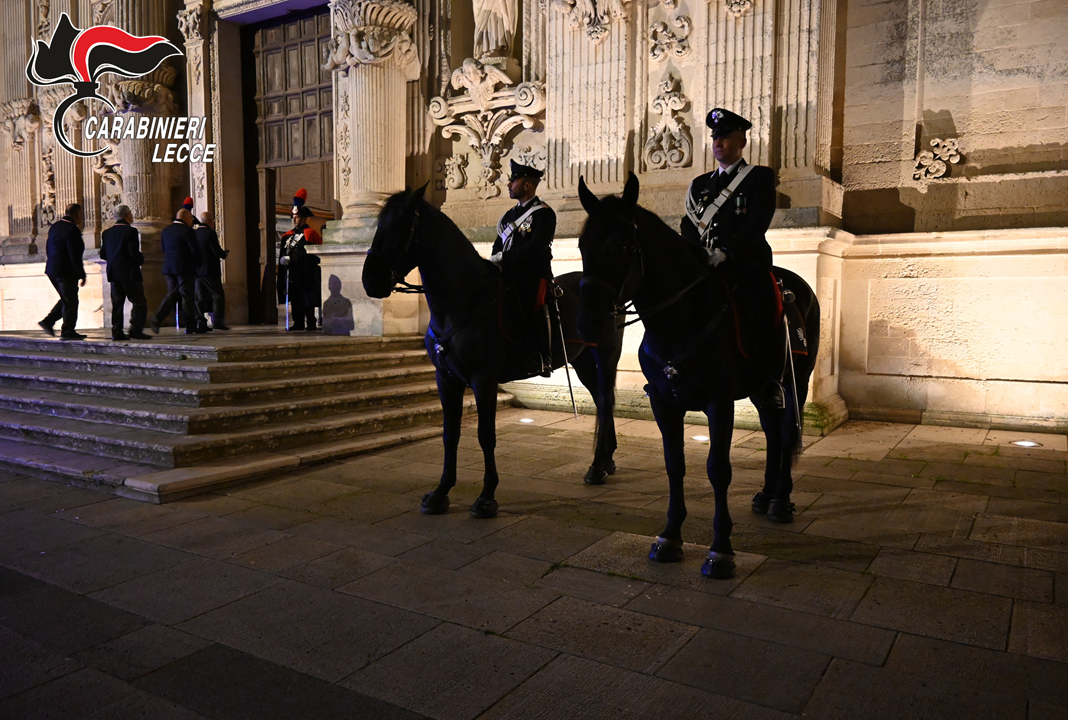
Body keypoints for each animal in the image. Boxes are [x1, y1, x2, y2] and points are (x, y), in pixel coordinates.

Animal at [362, 183, 624, 518]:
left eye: (398, 226)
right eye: (378, 225)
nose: (370, 281)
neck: (460, 303)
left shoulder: (483, 379)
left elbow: (486, 435)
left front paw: (486, 497)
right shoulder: (445, 379)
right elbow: (450, 434)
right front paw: (440, 493)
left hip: (605, 357)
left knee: (606, 402)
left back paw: (598, 466)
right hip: (583, 363)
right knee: (602, 402)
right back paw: (604, 461)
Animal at [573, 173, 820, 578]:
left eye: (624, 244)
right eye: (581, 243)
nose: (588, 323)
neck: (680, 319)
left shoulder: (719, 403)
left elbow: (718, 469)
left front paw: (721, 550)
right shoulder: (663, 402)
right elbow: (675, 465)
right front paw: (670, 536)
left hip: (795, 380)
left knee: (785, 433)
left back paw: (781, 502)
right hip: (762, 389)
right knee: (771, 431)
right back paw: (767, 494)